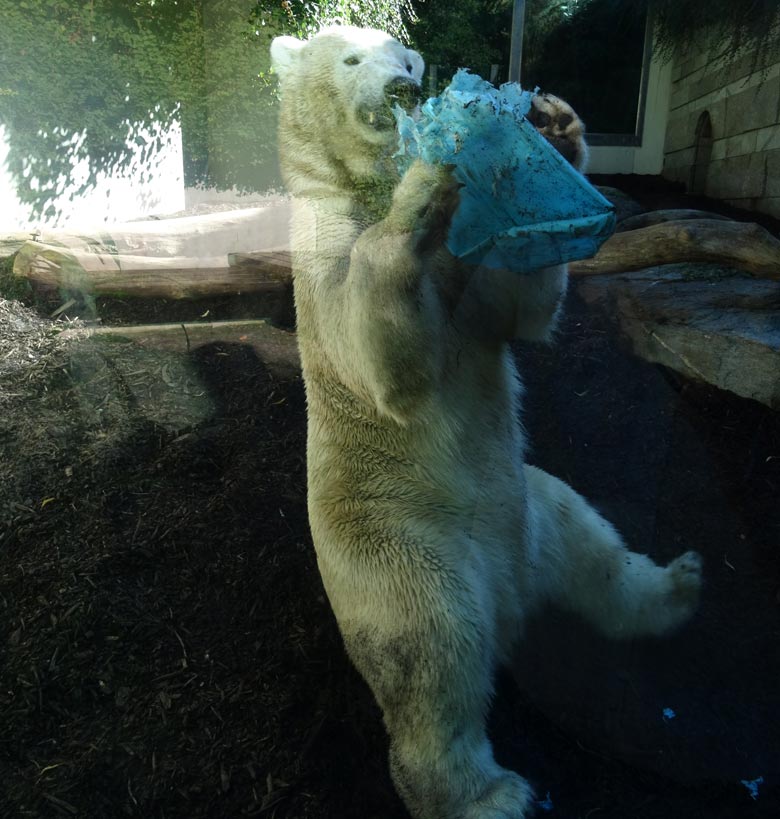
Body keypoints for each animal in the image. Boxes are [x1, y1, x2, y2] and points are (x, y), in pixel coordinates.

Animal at [272, 25, 704, 819]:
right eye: (352, 58)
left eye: (408, 58)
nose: (406, 88)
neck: (362, 183)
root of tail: (510, 597)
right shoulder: (319, 248)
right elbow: (383, 360)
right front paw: (433, 171)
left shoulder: (473, 275)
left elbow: (513, 308)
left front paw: (555, 127)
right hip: (398, 544)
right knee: (432, 650)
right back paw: (487, 793)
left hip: (532, 505)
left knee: (590, 543)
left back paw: (675, 585)